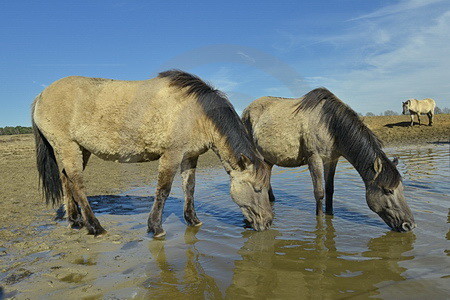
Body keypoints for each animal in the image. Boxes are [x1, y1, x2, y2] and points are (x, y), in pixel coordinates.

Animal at [32, 69, 274, 237]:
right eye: (257, 188)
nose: (269, 222)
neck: (196, 113)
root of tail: (41, 95)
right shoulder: (172, 155)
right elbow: (163, 190)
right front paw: (155, 227)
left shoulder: (189, 156)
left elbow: (190, 188)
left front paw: (192, 220)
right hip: (68, 147)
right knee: (77, 184)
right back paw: (95, 226)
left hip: (79, 150)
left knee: (66, 180)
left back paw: (75, 221)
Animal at [244, 88, 416, 233]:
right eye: (387, 190)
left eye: (401, 188)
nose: (409, 225)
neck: (329, 125)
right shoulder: (315, 158)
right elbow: (319, 192)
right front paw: (320, 220)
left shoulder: (332, 159)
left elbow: (330, 189)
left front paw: (330, 214)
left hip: (268, 158)